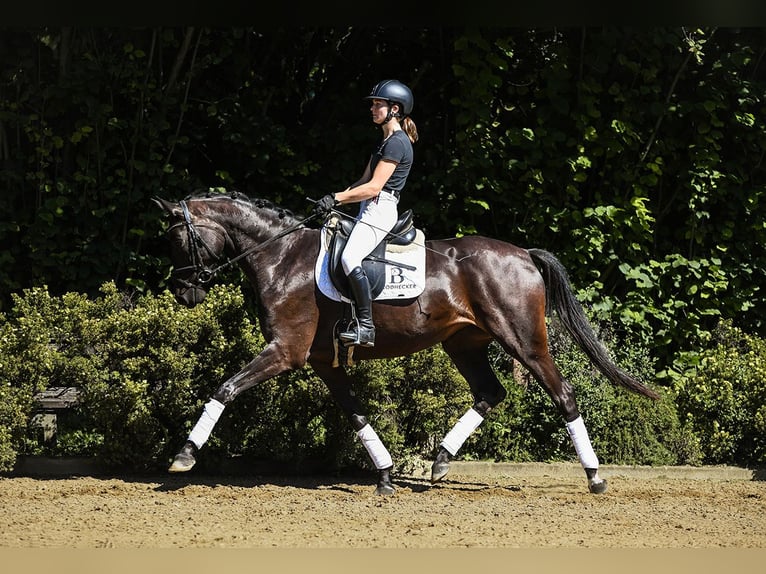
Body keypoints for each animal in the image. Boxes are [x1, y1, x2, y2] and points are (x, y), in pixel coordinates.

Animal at [154, 191, 660, 498]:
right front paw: (384, 476)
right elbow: (355, 414)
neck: (281, 257)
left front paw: (183, 456)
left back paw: (594, 476)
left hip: (523, 340)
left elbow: (224, 389)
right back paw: (439, 462)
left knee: (563, 394)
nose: (183, 293)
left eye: (179, 241)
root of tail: (522, 254)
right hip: (464, 343)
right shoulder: (322, 360)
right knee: (490, 391)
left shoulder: (286, 351)